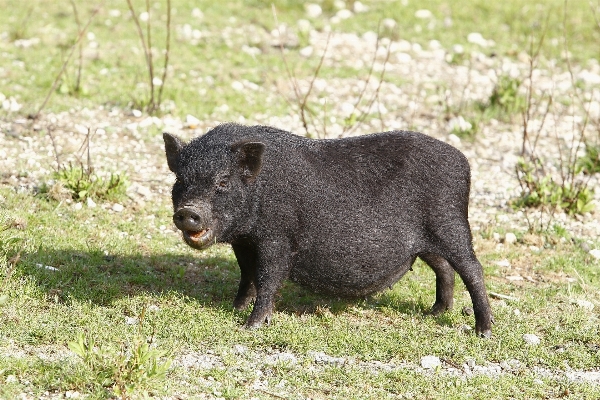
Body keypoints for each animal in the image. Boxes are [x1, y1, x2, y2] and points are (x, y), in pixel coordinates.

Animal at [163, 123, 492, 336]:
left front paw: (249, 326)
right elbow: (247, 276)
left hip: (451, 224)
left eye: (223, 181)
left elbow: (268, 278)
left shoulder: (277, 239)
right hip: (425, 241)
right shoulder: (243, 242)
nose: (188, 211)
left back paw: (482, 332)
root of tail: (464, 162)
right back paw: (434, 312)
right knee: (443, 268)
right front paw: (234, 309)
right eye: (180, 180)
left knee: (472, 269)